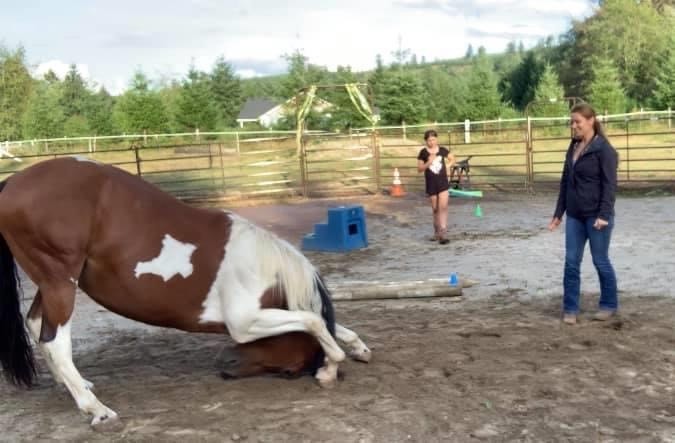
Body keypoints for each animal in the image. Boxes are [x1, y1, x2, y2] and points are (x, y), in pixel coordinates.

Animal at [0, 157, 370, 430]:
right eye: (290, 371)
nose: (226, 365)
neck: (262, 266)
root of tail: (13, 183)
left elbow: (328, 325)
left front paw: (357, 348)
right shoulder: (244, 322)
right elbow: (313, 322)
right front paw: (330, 368)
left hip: (52, 283)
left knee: (38, 327)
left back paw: (75, 387)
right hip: (61, 282)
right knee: (55, 341)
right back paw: (96, 409)